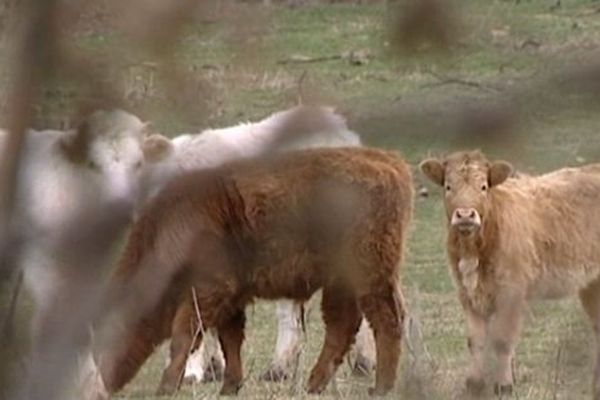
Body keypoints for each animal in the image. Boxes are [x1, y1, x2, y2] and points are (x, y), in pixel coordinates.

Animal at [98, 145, 414, 396]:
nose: (102, 383)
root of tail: (388, 160)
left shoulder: (208, 291)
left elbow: (185, 337)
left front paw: (166, 387)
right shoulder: (230, 299)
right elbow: (230, 340)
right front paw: (230, 386)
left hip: (371, 275)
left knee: (385, 320)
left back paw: (381, 387)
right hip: (342, 281)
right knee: (342, 325)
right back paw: (314, 384)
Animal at [420, 152, 600, 398]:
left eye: (483, 186)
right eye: (448, 186)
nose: (465, 215)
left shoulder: (512, 292)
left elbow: (502, 340)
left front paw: (504, 385)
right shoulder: (466, 294)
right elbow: (475, 340)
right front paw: (474, 384)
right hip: (591, 284)